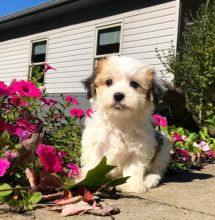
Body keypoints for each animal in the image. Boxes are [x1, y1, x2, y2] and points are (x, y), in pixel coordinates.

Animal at [81, 55, 171, 193]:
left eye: (134, 84)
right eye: (109, 82)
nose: (118, 95)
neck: (119, 120)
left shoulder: (139, 149)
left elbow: (133, 168)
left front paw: (131, 186)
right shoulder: (95, 144)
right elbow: (93, 163)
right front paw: (87, 180)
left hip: (164, 147)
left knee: (158, 169)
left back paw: (150, 179)